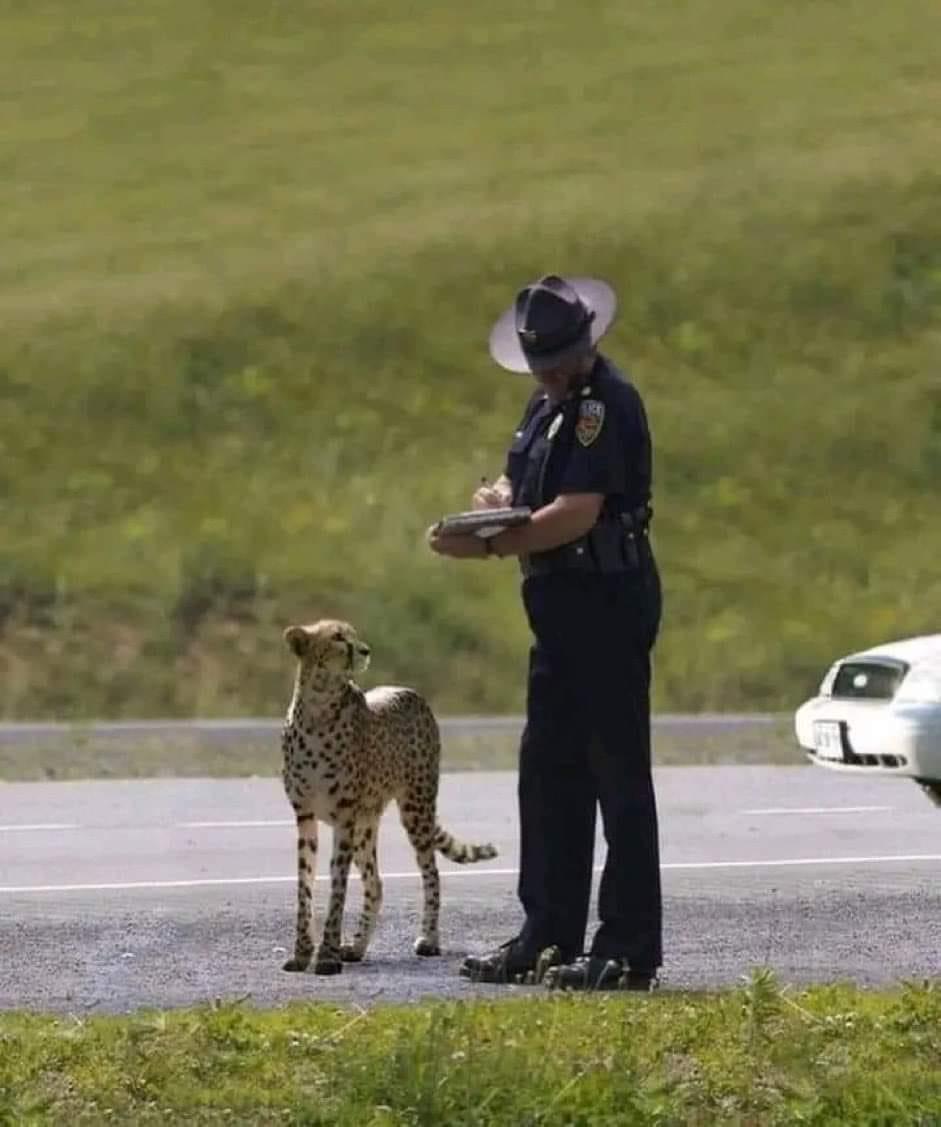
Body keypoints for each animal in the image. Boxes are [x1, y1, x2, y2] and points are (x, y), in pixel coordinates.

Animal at [279, 622, 500, 973]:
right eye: (338, 637)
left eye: (353, 634)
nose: (365, 650)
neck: (318, 705)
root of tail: (409, 691)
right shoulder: (305, 815)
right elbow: (305, 886)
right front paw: (302, 953)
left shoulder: (344, 818)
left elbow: (337, 889)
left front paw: (326, 955)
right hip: (365, 826)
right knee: (376, 884)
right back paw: (357, 947)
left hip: (415, 808)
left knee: (431, 873)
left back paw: (429, 939)